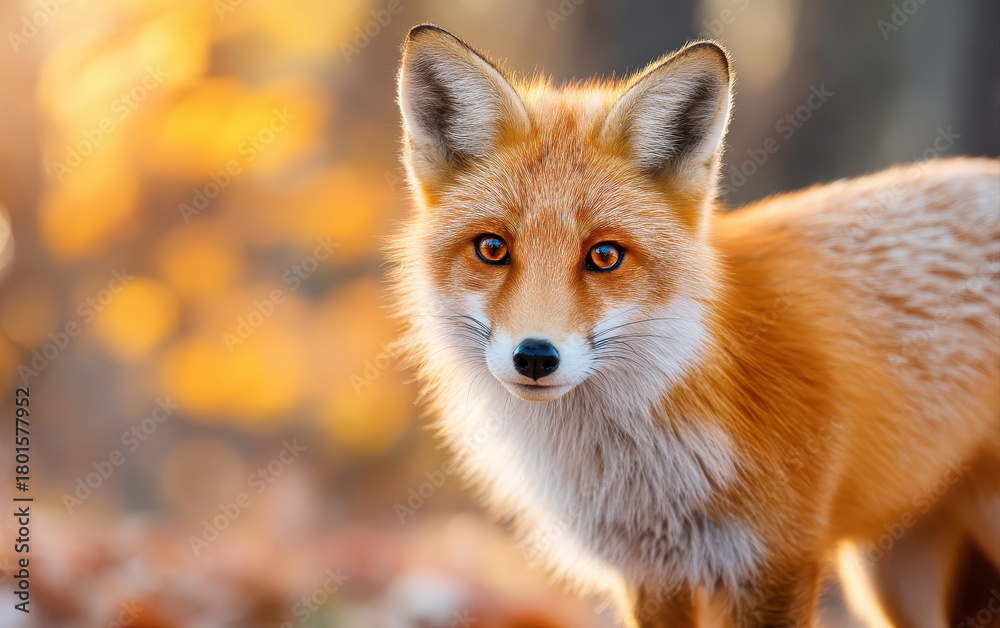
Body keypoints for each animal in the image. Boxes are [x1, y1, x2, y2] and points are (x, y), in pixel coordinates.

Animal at [389, 23, 1000, 628]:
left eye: (605, 256)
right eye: (492, 248)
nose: (535, 356)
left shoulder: (774, 562)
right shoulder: (652, 574)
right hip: (890, 581)